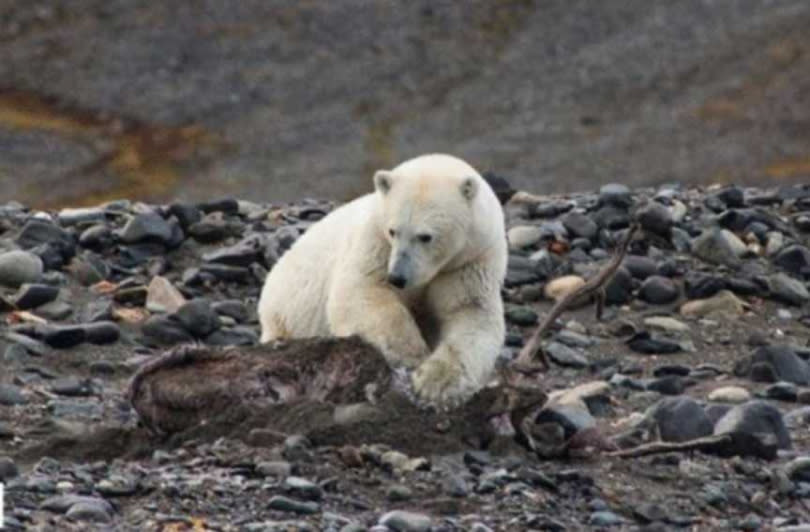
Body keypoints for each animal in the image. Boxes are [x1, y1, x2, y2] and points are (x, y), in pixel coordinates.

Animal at [256, 153, 504, 404]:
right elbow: (361, 289)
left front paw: (436, 382)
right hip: (285, 311)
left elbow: (470, 312)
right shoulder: (376, 241)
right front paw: (411, 354)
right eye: (393, 231)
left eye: (425, 236)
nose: (397, 278)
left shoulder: (469, 261)